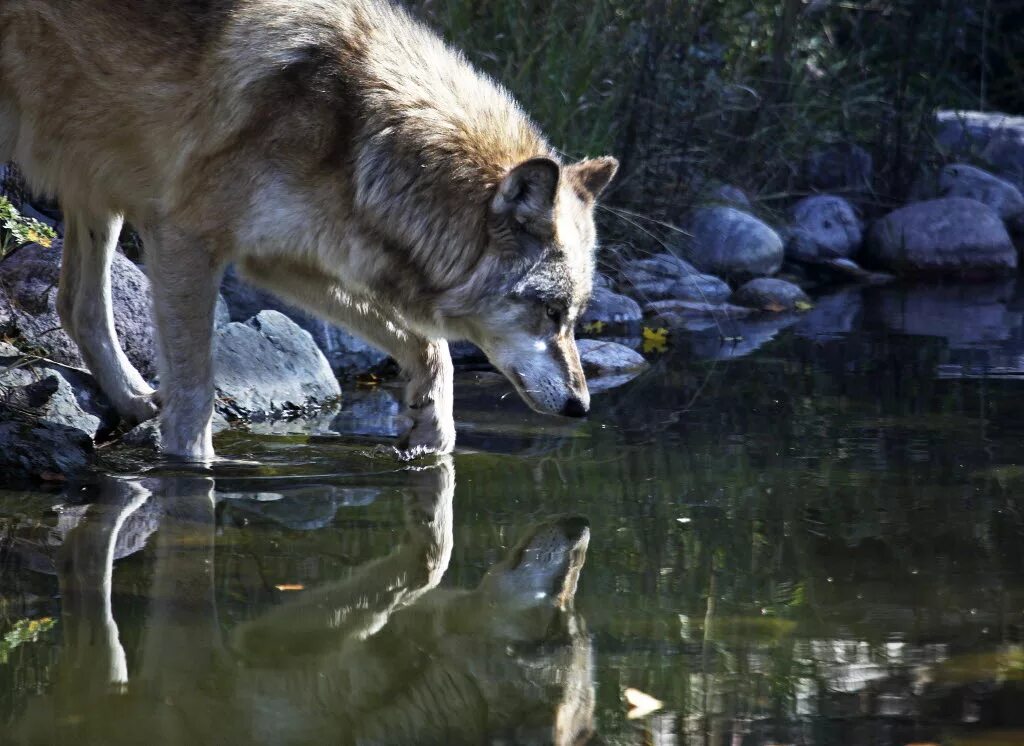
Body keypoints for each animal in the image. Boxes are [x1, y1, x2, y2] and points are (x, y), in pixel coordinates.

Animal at [0, 0, 614, 456]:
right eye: (551, 312)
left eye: (573, 317)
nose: (582, 406)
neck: (357, 131)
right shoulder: (188, 238)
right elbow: (196, 393)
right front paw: (192, 471)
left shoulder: (281, 260)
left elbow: (428, 344)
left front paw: (432, 426)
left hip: (96, 176)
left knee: (76, 305)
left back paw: (131, 400)